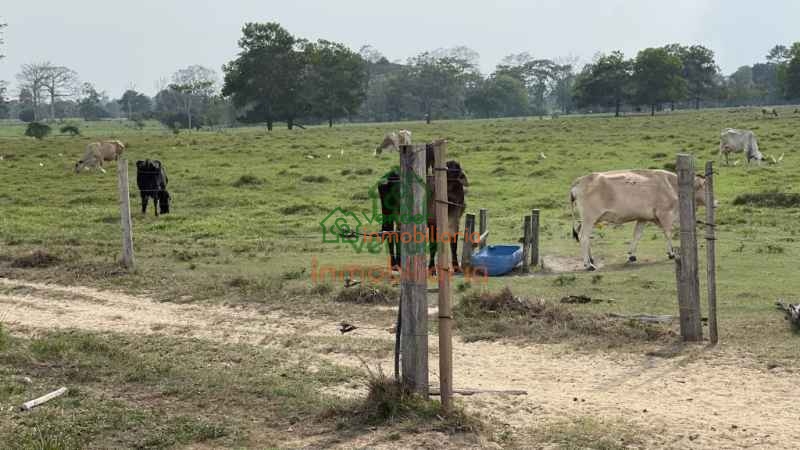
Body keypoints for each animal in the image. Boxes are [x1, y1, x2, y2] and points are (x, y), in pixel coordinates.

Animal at [572, 170, 708, 270]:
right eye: (705, 187)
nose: (713, 201)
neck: (672, 185)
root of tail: (580, 180)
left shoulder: (643, 218)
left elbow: (637, 235)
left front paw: (631, 255)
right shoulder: (665, 215)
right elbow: (668, 233)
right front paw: (671, 253)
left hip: (590, 220)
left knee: (583, 235)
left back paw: (591, 259)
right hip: (589, 218)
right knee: (583, 236)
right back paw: (588, 265)